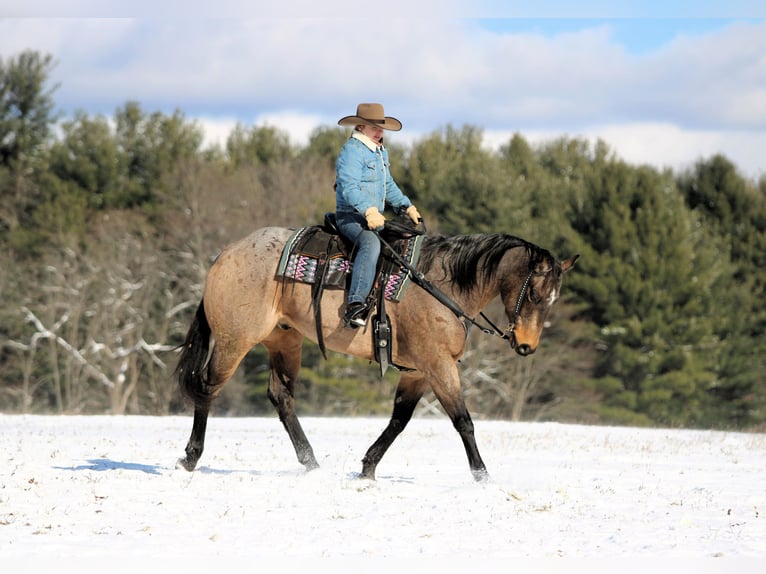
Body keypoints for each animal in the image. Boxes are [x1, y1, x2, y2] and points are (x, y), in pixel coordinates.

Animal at [175, 225, 578, 482]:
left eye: (553, 300)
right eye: (536, 294)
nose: (526, 345)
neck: (442, 285)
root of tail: (226, 253)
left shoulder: (417, 372)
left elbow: (399, 420)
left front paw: (368, 466)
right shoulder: (438, 365)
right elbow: (463, 420)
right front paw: (482, 474)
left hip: (283, 341)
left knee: (281, 396)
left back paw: (311, 462)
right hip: (235, 340)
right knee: (208, 387)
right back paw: (191, 456)